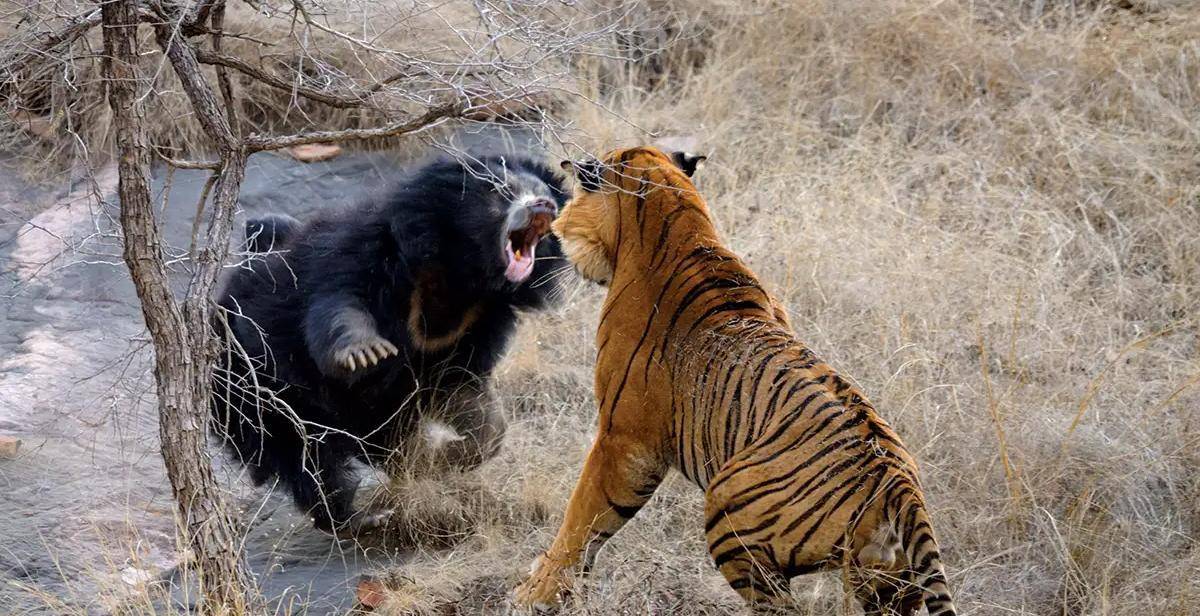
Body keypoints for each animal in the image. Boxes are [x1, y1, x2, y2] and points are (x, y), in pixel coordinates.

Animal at [212, 154, 566, 533]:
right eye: (502, 191)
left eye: (545, 194)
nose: (544, 206)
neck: (460, 273)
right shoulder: (364, 254)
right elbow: (339, 305)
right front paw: (365, 353)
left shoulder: (476, 323)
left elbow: (466, 394)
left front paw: (442, 457)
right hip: (254, 389)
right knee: (306, 459)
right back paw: (355, 517)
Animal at [513, 146, 955, 612]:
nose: (556, 229)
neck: (678, 221)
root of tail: (900, 486)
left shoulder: (624, 440)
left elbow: (582, 518)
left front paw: (536, 593)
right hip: (885, 581)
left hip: (728, 510)